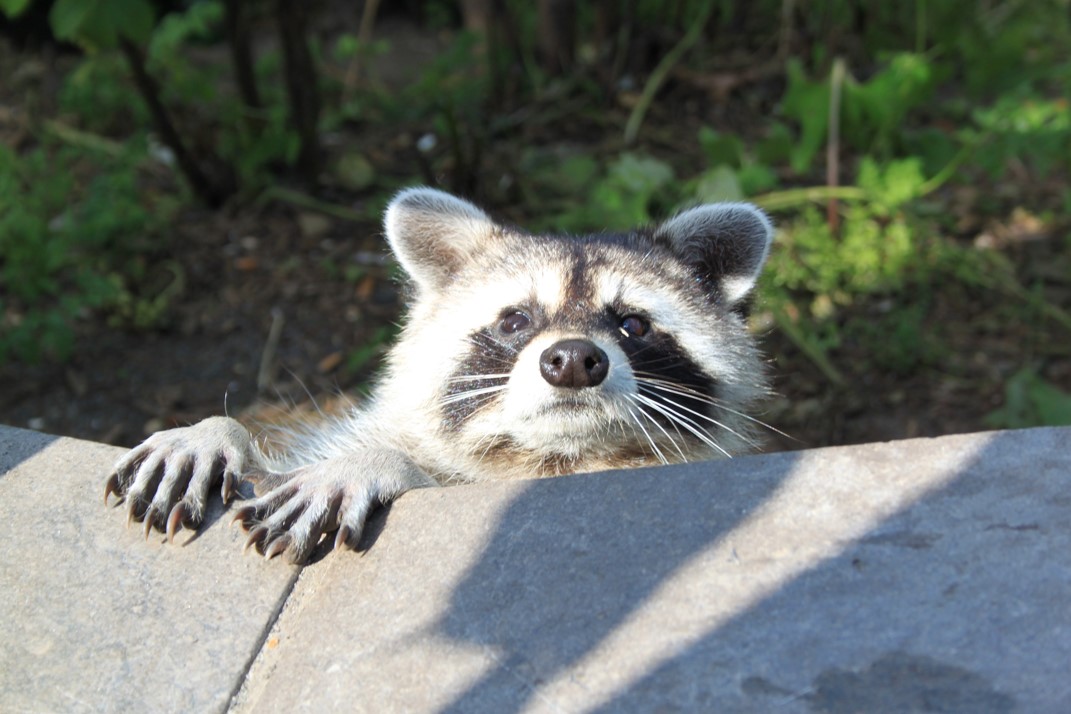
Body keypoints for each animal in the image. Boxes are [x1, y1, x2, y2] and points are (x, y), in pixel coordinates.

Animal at [102, 188, 771, 565]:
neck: (555, 458)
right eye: (516, 321)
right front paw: (220, 430)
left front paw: (382, 465)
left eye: (632, 325)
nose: (574, 359)